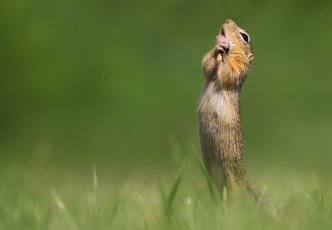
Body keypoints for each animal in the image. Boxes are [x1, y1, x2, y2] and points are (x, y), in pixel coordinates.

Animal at [197, 19, 254, 194]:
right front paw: (217, 48)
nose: (228, 20)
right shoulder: (210, 72)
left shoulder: (239, 66)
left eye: (245, 36)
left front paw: (223, 46)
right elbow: (207, 67)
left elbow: (228, 72)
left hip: (232, 182)